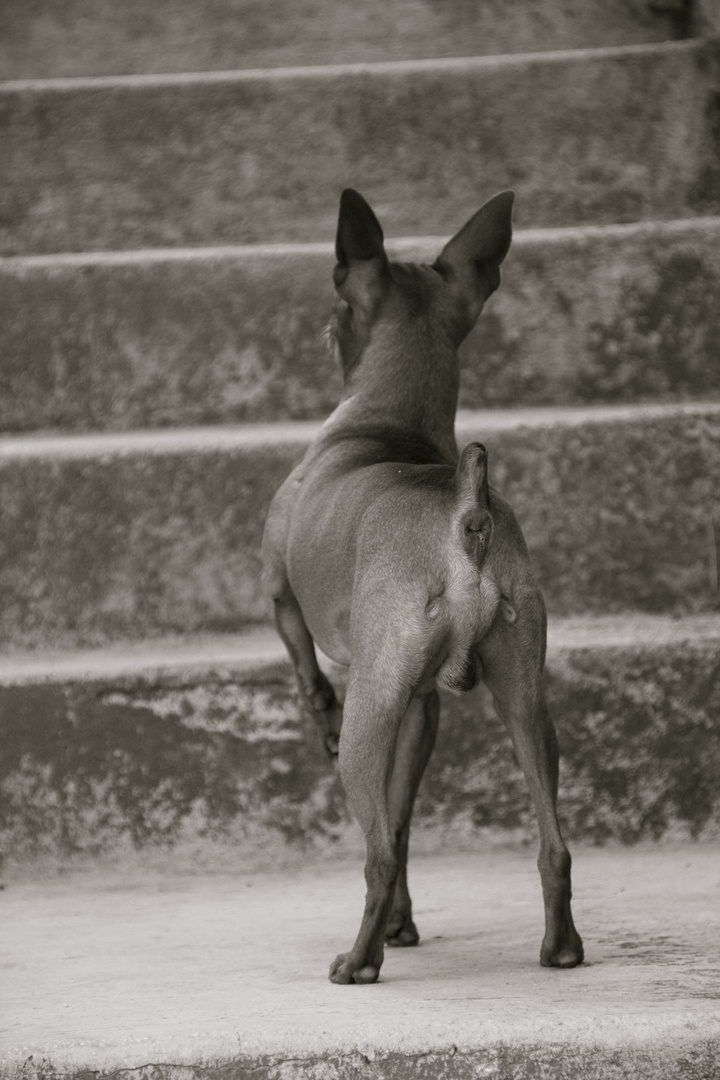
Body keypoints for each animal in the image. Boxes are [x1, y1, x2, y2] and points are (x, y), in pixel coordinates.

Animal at [262, 190, 582, 984]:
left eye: (335, 312)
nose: (325, 332)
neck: (386, 423)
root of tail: (466, 509)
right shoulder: (422, 709)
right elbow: (404, 819)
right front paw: (407, 925)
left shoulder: (280, 597)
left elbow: (307, 672)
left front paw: (316, 710)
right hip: (525, 702)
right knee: (552, 844)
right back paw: (561, 946)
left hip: (369, 718)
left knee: (375, 853)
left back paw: (359, 959)